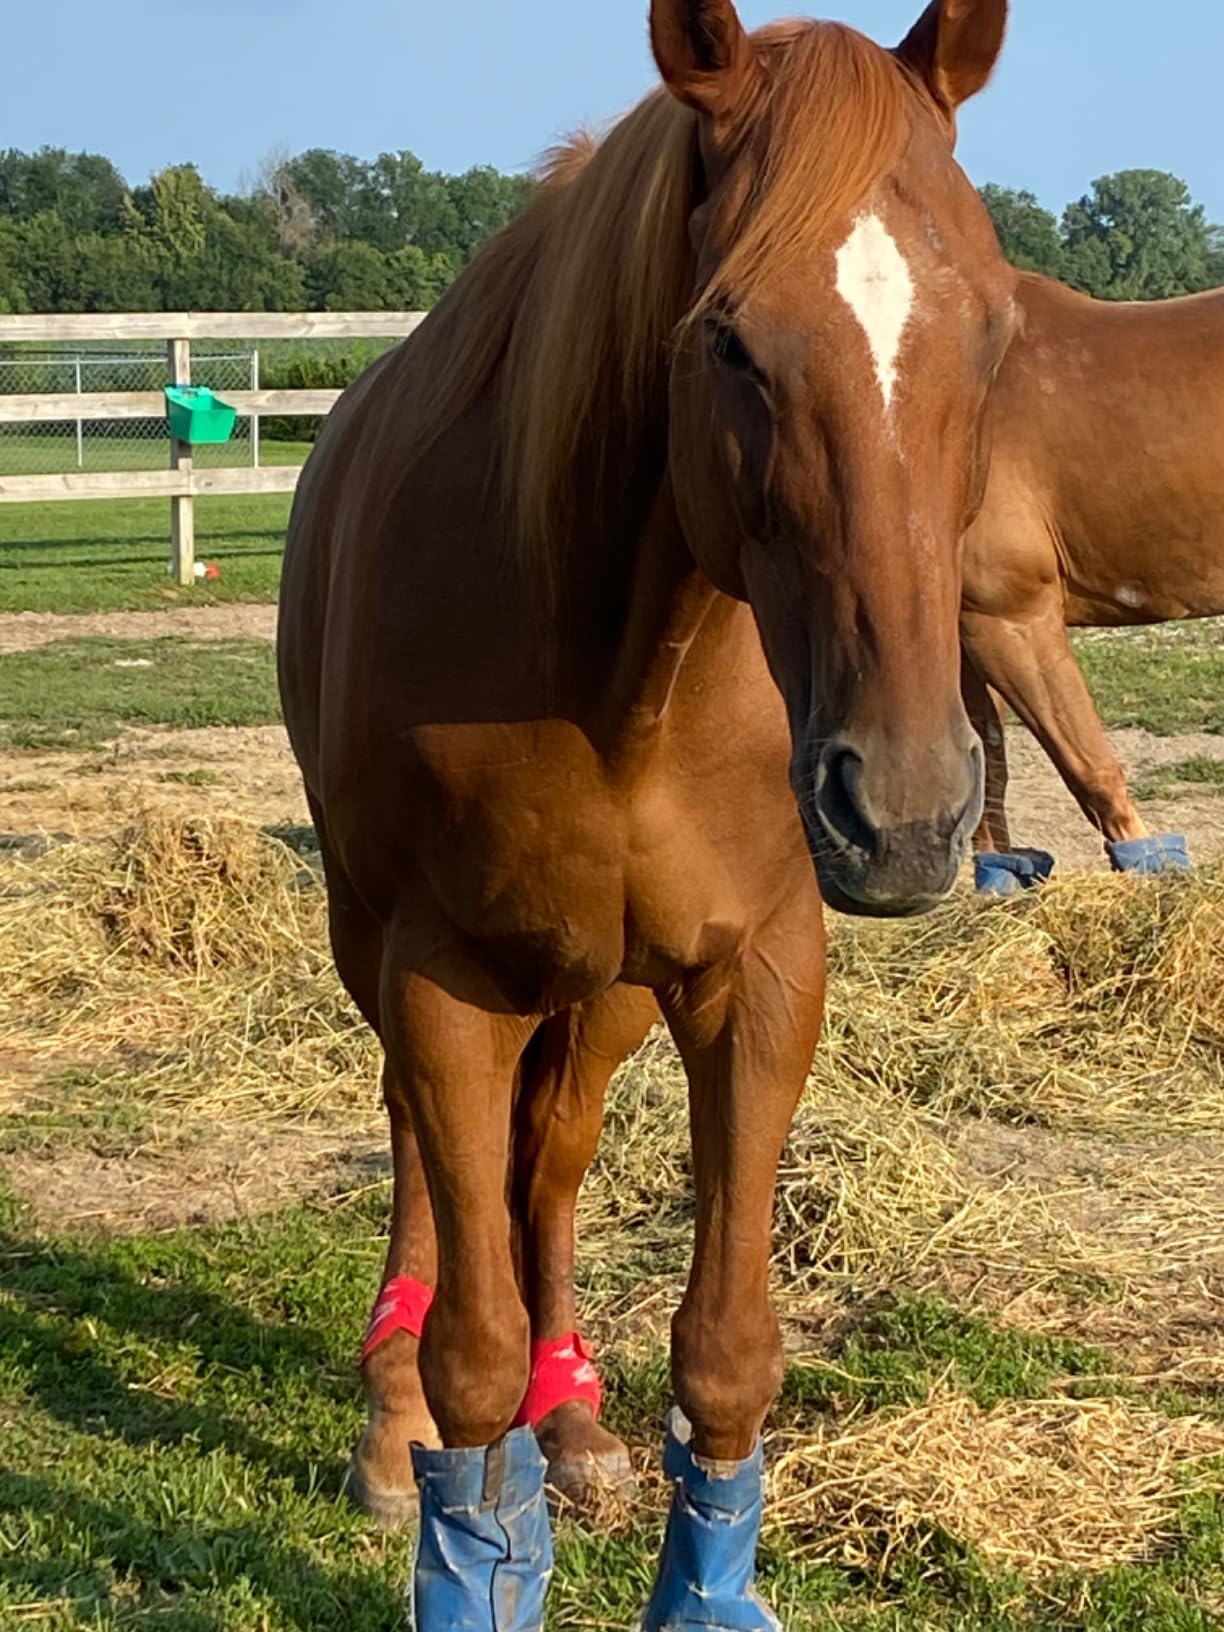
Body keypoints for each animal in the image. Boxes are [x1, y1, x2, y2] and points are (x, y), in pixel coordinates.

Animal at [277, 1, 1015, 1623]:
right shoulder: (440, 974)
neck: (626, 667)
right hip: (386, 948)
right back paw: (390, 1423)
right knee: (426, 1161)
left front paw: (695, 1571)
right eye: (726, 336)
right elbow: (469, 1353)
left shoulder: (756, 971)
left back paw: (572, 1420)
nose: (909, 812)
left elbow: (729, 1353)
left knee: (549, 1161)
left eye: (997, 329)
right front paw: (464, 1522)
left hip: (604, 982)